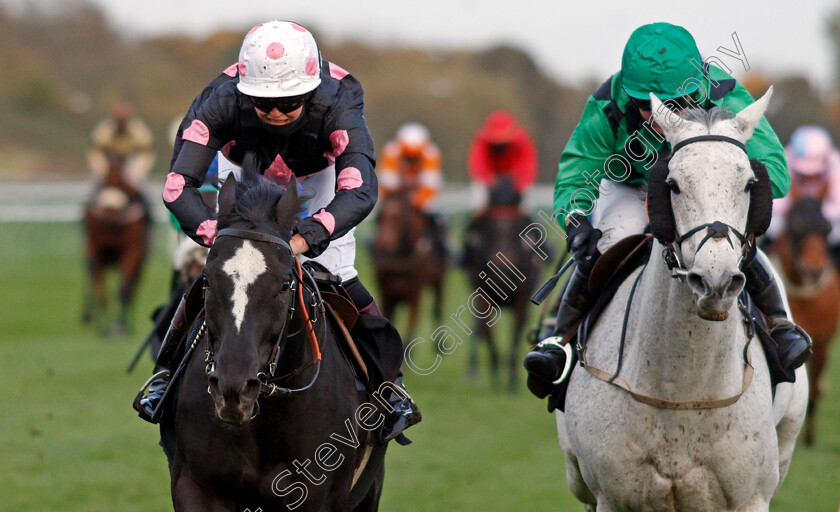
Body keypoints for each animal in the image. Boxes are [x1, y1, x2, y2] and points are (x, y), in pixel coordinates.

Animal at [82, 154, 151, 334]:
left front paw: (122, 326)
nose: (108, 214)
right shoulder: (96, 249)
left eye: (121, 183)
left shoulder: (133, 250)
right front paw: (102, 327)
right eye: (104, 182)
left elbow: (124, 289)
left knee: (132, 286)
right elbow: (101, 291)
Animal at [370, 187, 442, 340]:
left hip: (439, 281)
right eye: (380, 217)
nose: (384, 244)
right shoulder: (387, 295)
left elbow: (411, 328)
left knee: (437, 309)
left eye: (400, 218)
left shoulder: (415, 295)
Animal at [772, 177, 840, 444]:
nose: (814, 269)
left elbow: (813, 395)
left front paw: (810, 438)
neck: (806, 298)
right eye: (796, 226)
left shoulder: (821, 343)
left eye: (826, 228)